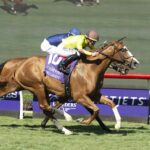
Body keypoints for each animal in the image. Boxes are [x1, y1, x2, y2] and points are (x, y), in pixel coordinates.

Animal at [0, 38, 139, 134]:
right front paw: (83, 121)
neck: (91, 68)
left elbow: (110, 103)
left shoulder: (94, 94)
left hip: (16, 86)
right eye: (123, 49)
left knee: (46, 108)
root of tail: (21, 62)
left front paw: (117, 125)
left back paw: (65, 128)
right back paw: (67, 119)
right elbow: (96, 110)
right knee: (45, 106)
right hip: (38, 86)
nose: (135, 62)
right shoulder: (79, 96)